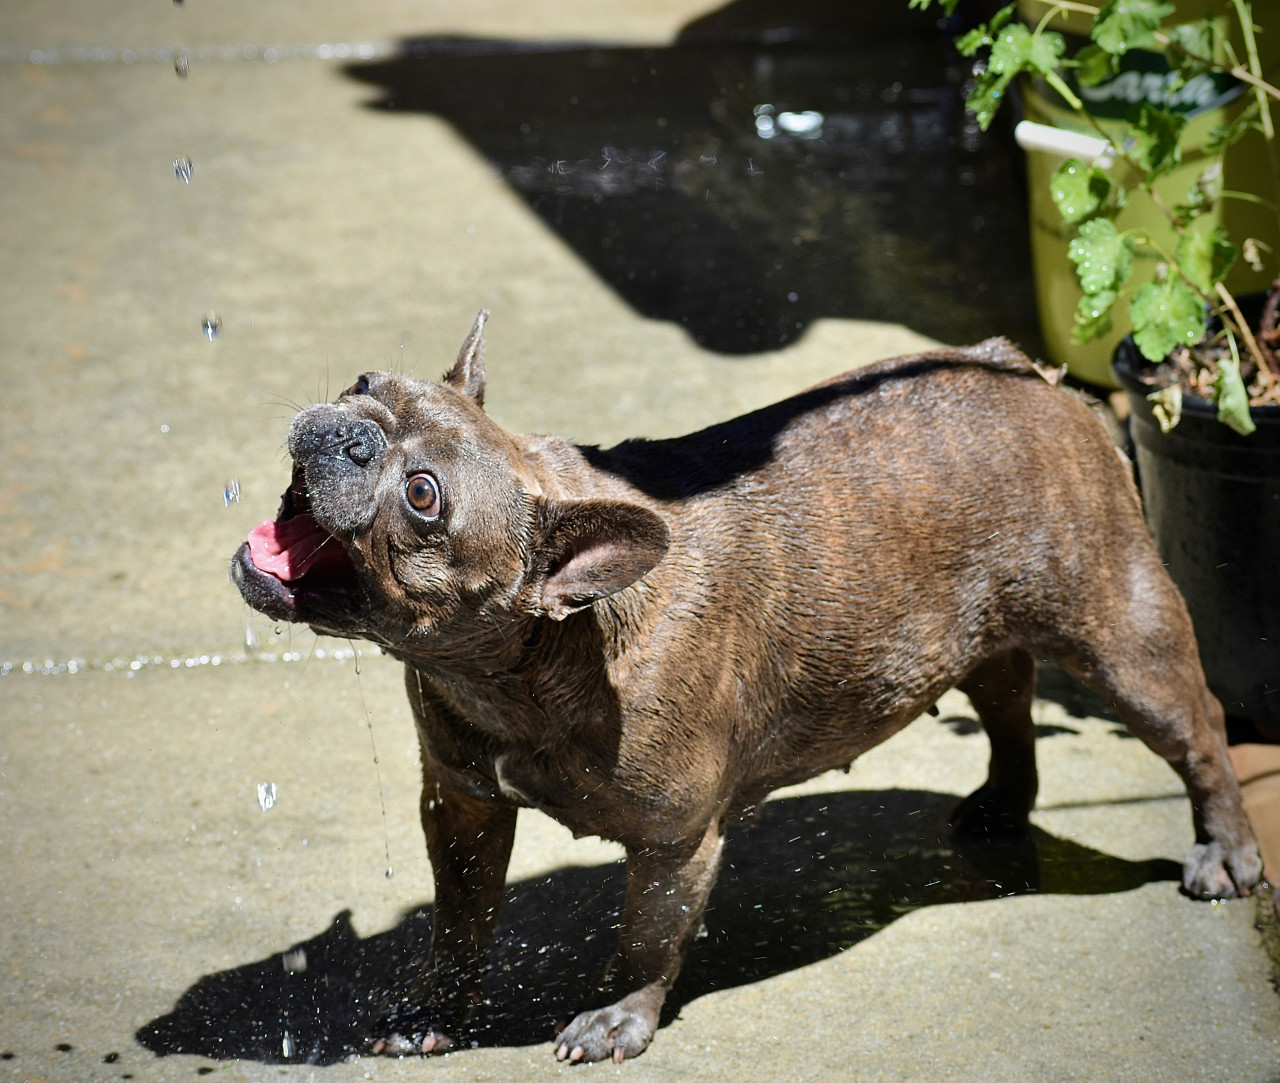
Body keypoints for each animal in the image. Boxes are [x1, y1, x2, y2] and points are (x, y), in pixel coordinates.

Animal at [230, 309, 1259, 1065]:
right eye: (366, 382)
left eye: (424, 497)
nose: (353, 430)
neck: (535, 655)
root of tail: (1026, 372)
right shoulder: (463, 799)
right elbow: (460, 915)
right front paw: (433, 1009)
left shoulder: (675, 837)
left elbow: (648, 934)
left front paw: (617, 1018)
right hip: (989, 627)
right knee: (1008, 696)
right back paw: (1004, 802)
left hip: (1122, 635)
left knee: (1197, 730)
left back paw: (1225, 854)